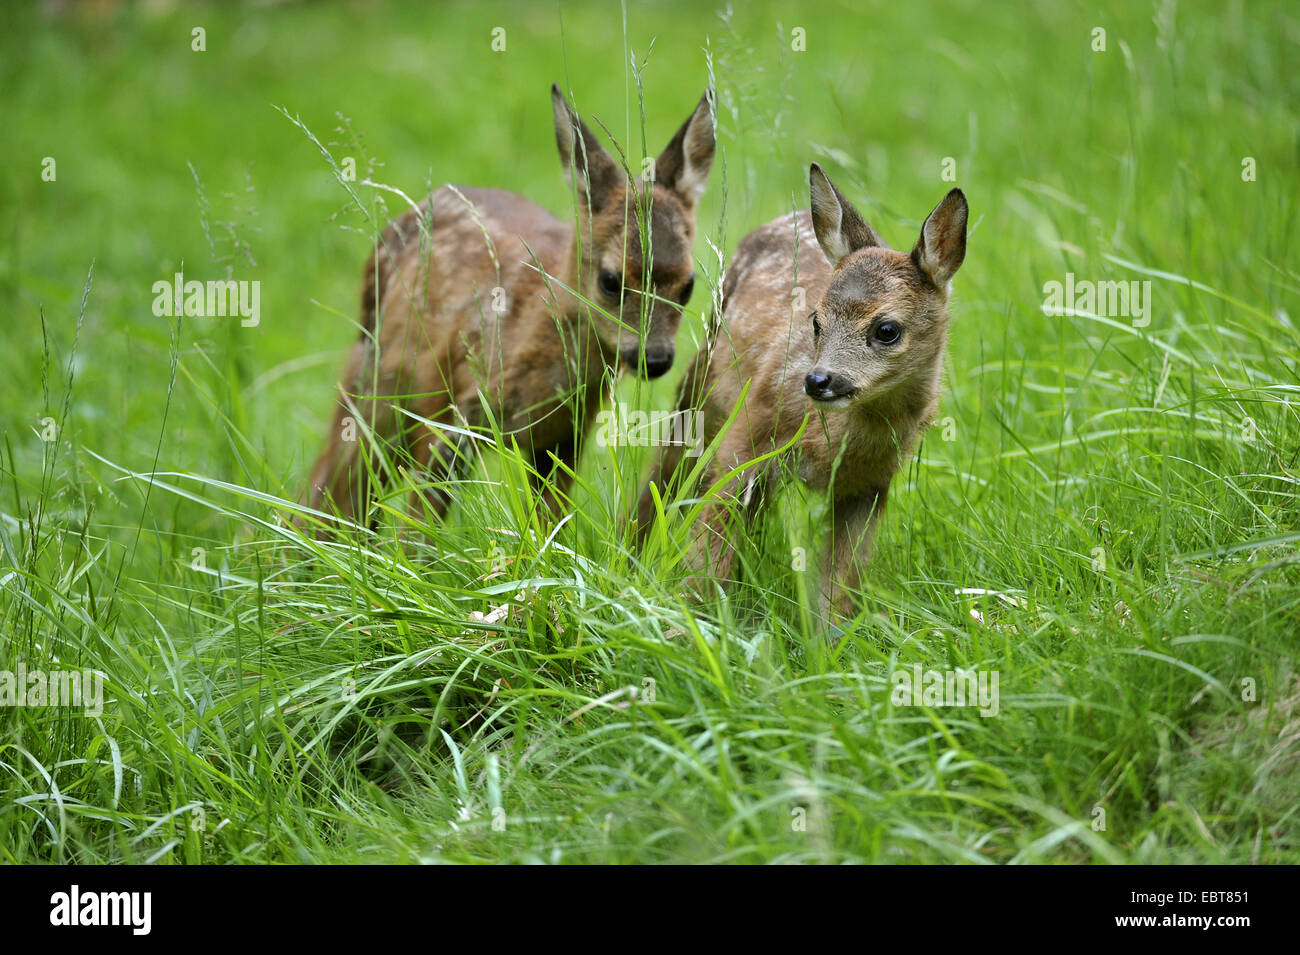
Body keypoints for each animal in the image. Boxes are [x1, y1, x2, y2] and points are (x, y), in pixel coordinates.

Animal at [301, 84, 715, 531]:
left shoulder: (565, 437)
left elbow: (550, 526)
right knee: (332, 485)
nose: (655, 358)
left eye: (688, 285)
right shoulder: (453, 414)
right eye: (610, 280)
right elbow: (422, 529)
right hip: (378, 382)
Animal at [636, 163, 968, 619]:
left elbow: (840, 581)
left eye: (887, 329)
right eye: (816, 321)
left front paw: (828, 634)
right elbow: (708, 554)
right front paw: (688, 621)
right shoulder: (744, 440)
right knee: (662, 472)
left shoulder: (870, 486)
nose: (817, 380)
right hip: (701, 383)